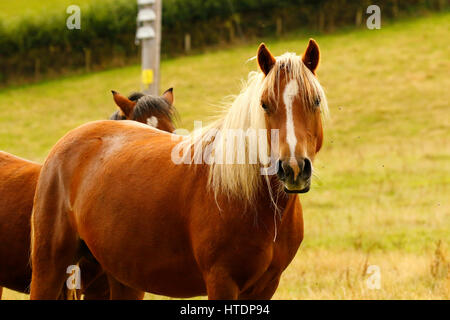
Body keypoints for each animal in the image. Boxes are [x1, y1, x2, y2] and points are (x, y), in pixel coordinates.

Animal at [30, 40, 326, 300]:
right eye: (264, 104)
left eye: (315, 101)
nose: (293, 168)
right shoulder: (221, 281)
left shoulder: (267, 285)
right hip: (50, 268)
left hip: (118, 277)